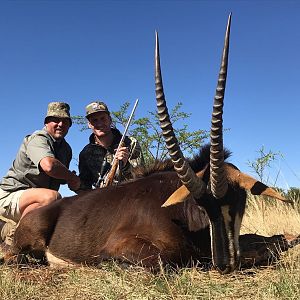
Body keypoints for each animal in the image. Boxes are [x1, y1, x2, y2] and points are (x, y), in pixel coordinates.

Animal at [1, 14, 288, 274]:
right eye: (202, 207)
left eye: (236, 199)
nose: (225, 263)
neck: (181, 215)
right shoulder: (124, 247)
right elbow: (166, 262)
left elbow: (270, 244)